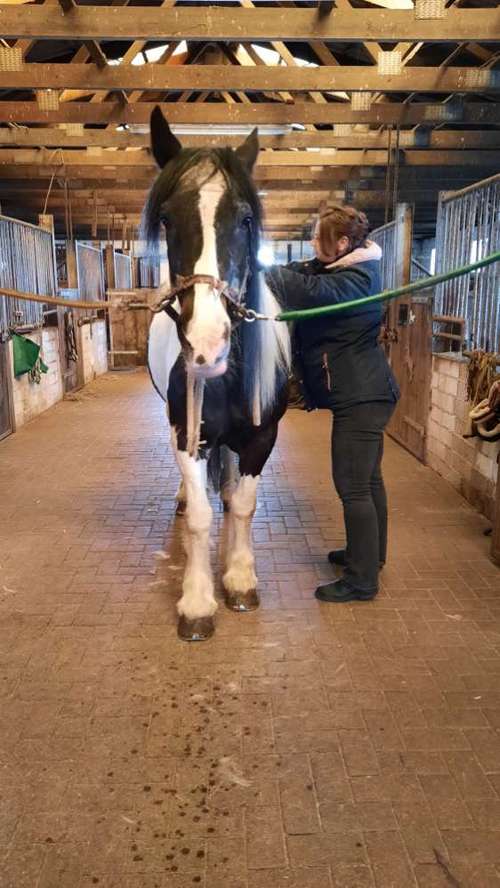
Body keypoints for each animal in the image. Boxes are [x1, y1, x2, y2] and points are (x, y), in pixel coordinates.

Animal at [143, 109, 292, 640]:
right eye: (167, 218)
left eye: (246, 219)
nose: (206, 346)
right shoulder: (188, 433)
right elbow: (200, 515)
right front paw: (197, 602)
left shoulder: (261, 437)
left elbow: (242, 505)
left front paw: (240, 578)